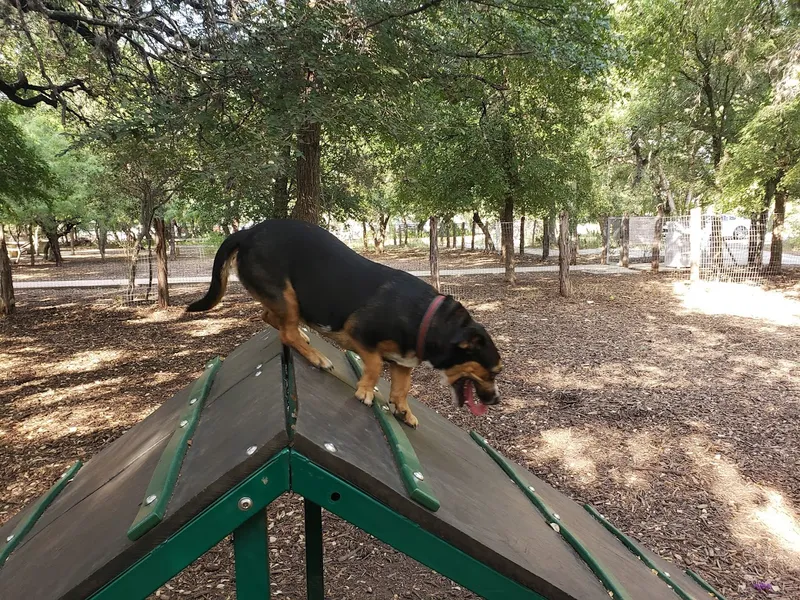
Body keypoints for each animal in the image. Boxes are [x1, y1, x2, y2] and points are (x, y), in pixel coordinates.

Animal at [185, 220, 504, 426]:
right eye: (493, 372)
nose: (496, 401)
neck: (429, 319)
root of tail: (249, 232)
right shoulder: (361, 335)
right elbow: (374, 365)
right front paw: (365, 391)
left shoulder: (402, 363)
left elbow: (402, 388)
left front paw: (403, 410)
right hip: (287, 296)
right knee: (286, 332)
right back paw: (317, 356)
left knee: (271, 319)